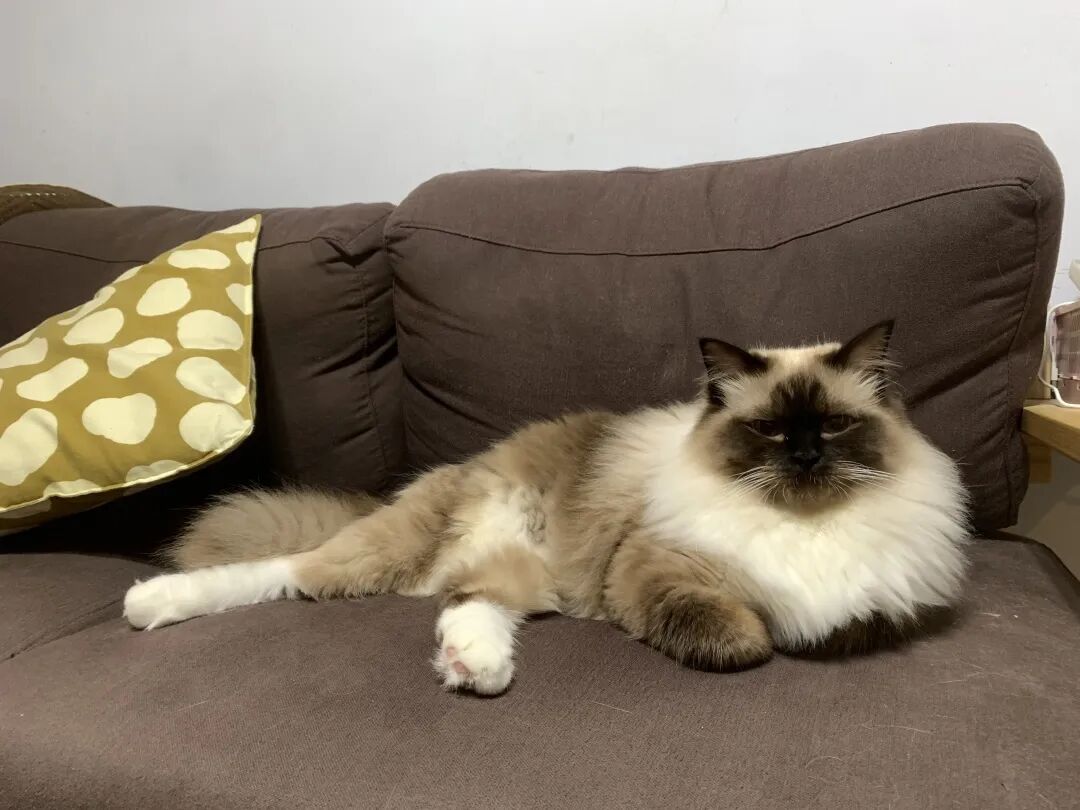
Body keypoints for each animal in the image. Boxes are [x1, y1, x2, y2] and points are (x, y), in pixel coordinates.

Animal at [123, 320, 969, 695]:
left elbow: (812, 629)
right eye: (766, 430)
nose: (804, 457)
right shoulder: (653, 570)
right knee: (284, 572)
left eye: (833, 426)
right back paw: (149, 604)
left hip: (530, 577)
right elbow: (744, 638)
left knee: (467, 601)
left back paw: (473, 666)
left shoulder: (868, 613)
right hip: (390, 550)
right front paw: (750, 640)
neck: (803, 522)